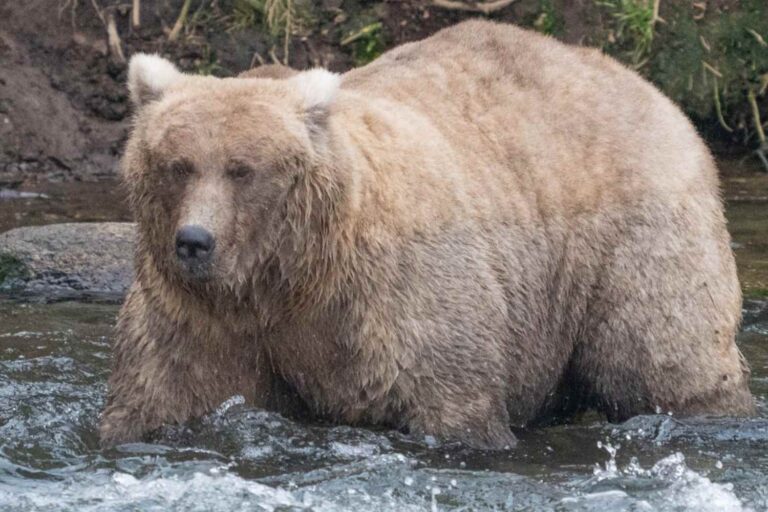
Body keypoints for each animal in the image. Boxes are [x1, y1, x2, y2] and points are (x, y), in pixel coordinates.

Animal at [99, 19, 754, 448]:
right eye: (177, 164)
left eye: (243, 169)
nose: (194, 241)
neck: (289, 276)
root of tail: (646, 86)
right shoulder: (202, 316)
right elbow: (164, 393)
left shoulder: (395, 296)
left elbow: (449, 398)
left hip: (633, 236)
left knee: (663, 356)